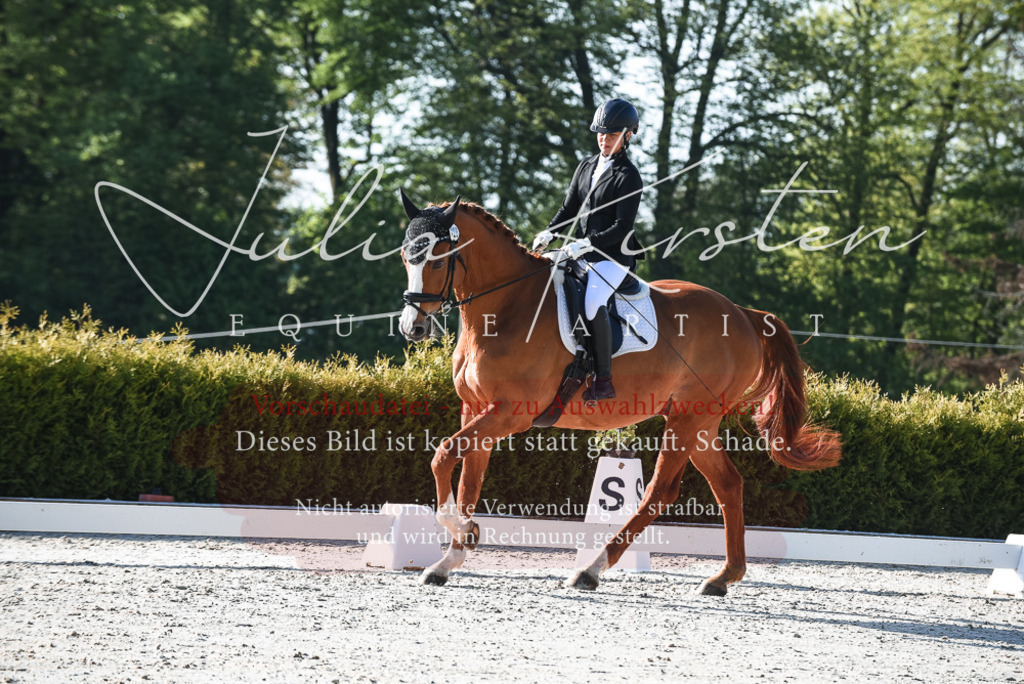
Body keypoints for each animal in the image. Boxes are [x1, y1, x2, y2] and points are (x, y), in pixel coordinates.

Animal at [396, 191, 841, 594]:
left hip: (689, 418)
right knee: (729, 485)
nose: (411, 328)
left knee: (660, 492)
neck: (505, 308)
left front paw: (464, 531)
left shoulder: (510, 412)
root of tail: (744, 314)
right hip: (699, 422)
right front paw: (451, 556)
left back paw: (591, 569)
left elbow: (443, 456)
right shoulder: (475, 408)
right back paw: (722, 578)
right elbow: (468, 479)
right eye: (405, 257)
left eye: (437, 259)